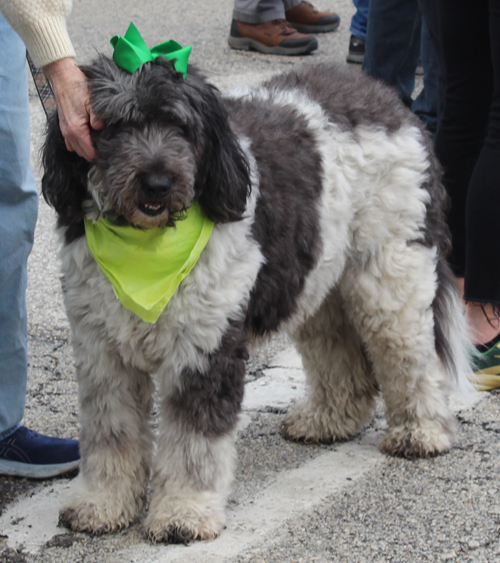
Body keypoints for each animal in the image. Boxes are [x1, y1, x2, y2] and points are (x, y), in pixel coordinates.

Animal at [42, 56, 472, 540]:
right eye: (113, 126)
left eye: (181, 126)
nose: (156, 183)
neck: (148, 258)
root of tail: (387, 99)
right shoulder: (102, 354)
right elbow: (110, 434)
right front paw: (103, 503)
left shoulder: (204, 347)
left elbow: (193, 444)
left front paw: (184, 512)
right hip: (317, 283)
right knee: (341, 356)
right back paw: (329, 420)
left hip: (389, 276)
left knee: (411, 356)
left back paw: (421, 431)